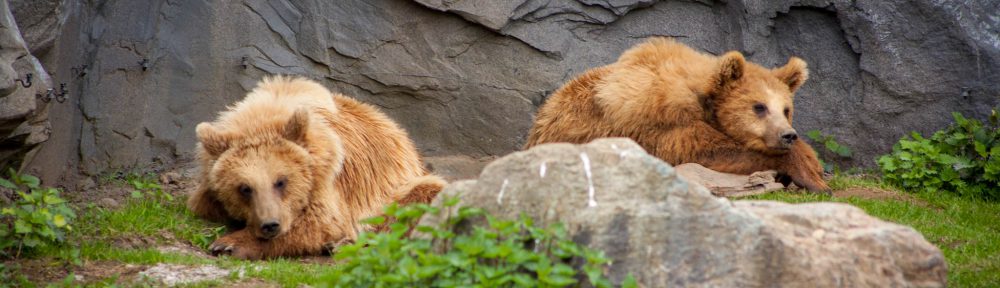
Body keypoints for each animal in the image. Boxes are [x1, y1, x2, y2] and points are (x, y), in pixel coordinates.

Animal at [188, 75, 446, 260]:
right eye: (244, 188)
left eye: (281, 181)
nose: (270, 225)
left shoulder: (329, 180)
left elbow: (320, 223)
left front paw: (228, 244)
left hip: (397, 188)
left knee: (422, 196)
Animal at [524, 37, 828, 192]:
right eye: (759, 106)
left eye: (786, 109)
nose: (787, 134)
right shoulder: (663, 122)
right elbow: (711, 150)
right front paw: (811, 177)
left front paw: (811, 165)